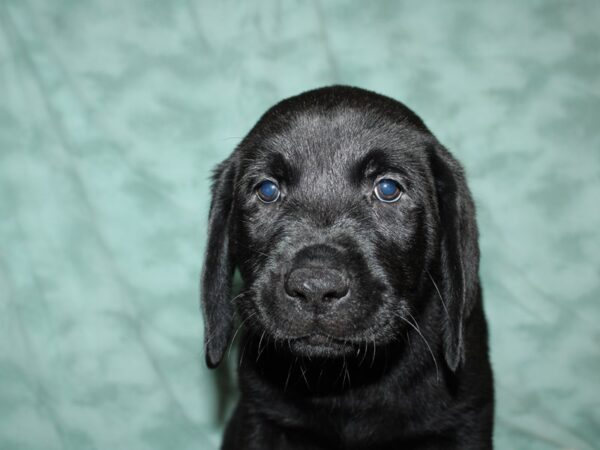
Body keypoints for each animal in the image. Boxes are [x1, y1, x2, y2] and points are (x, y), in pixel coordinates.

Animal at [200, 86, 492, 448]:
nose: (315, 288)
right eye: (267, 190)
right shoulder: (260, 418)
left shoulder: (467, 420)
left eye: (388, 189)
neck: (347, 383)